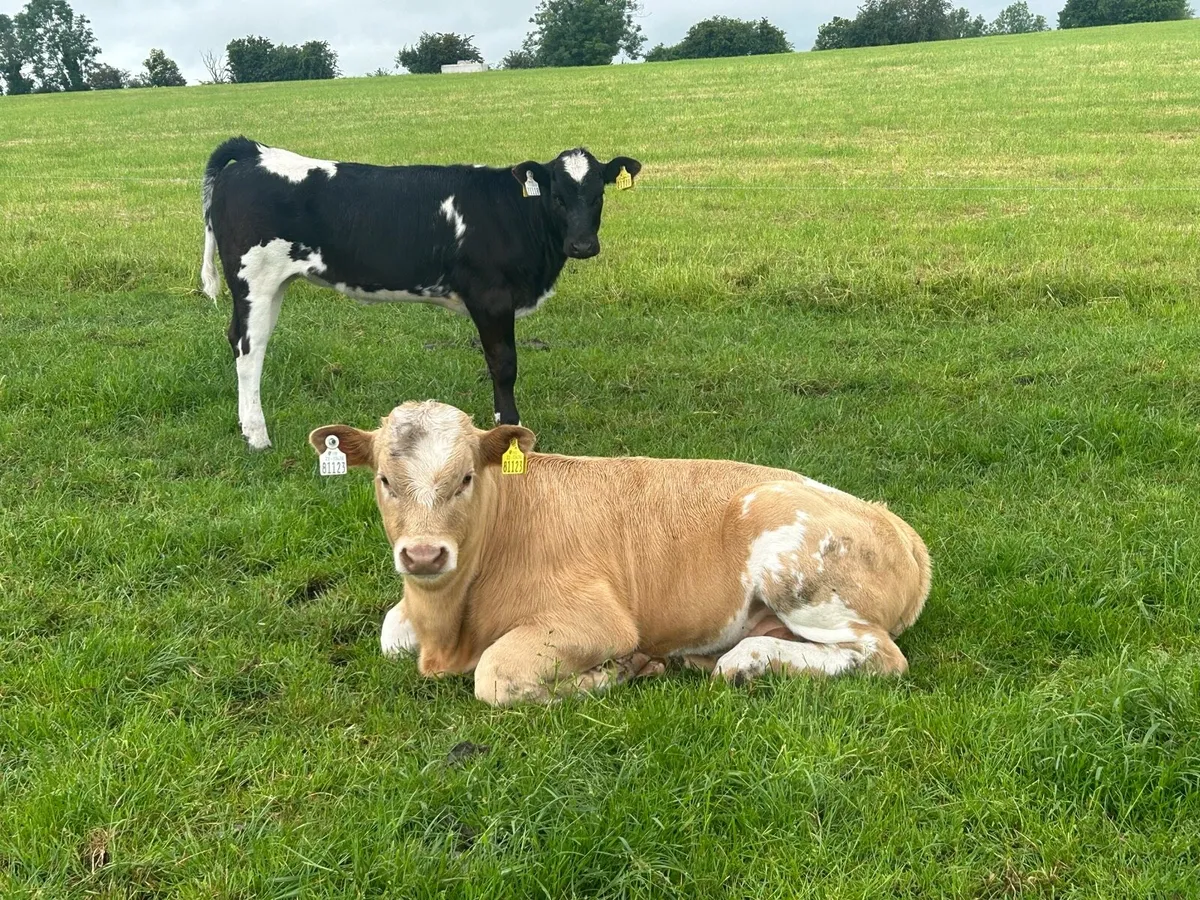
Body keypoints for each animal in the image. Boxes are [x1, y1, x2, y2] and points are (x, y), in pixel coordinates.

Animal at [200, 137, 642, 450]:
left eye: (599, 195)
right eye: (557, 196)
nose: (582, 245)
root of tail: (256, 153)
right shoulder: (491, 296)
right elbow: (503, 363)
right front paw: (512, 430)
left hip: (274, 284)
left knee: (244, 342)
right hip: (253, 279)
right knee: (249, 348)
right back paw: (258, 437)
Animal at [309, 400, 932, 706]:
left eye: (464, 478)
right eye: (384, 480)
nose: (423, 556)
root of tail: (896, 523)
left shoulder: (597, 620)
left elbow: (496, 676)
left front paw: (619, 671)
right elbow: (391, 633)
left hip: (799, 575)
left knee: (879, 657)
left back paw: (741, 663)